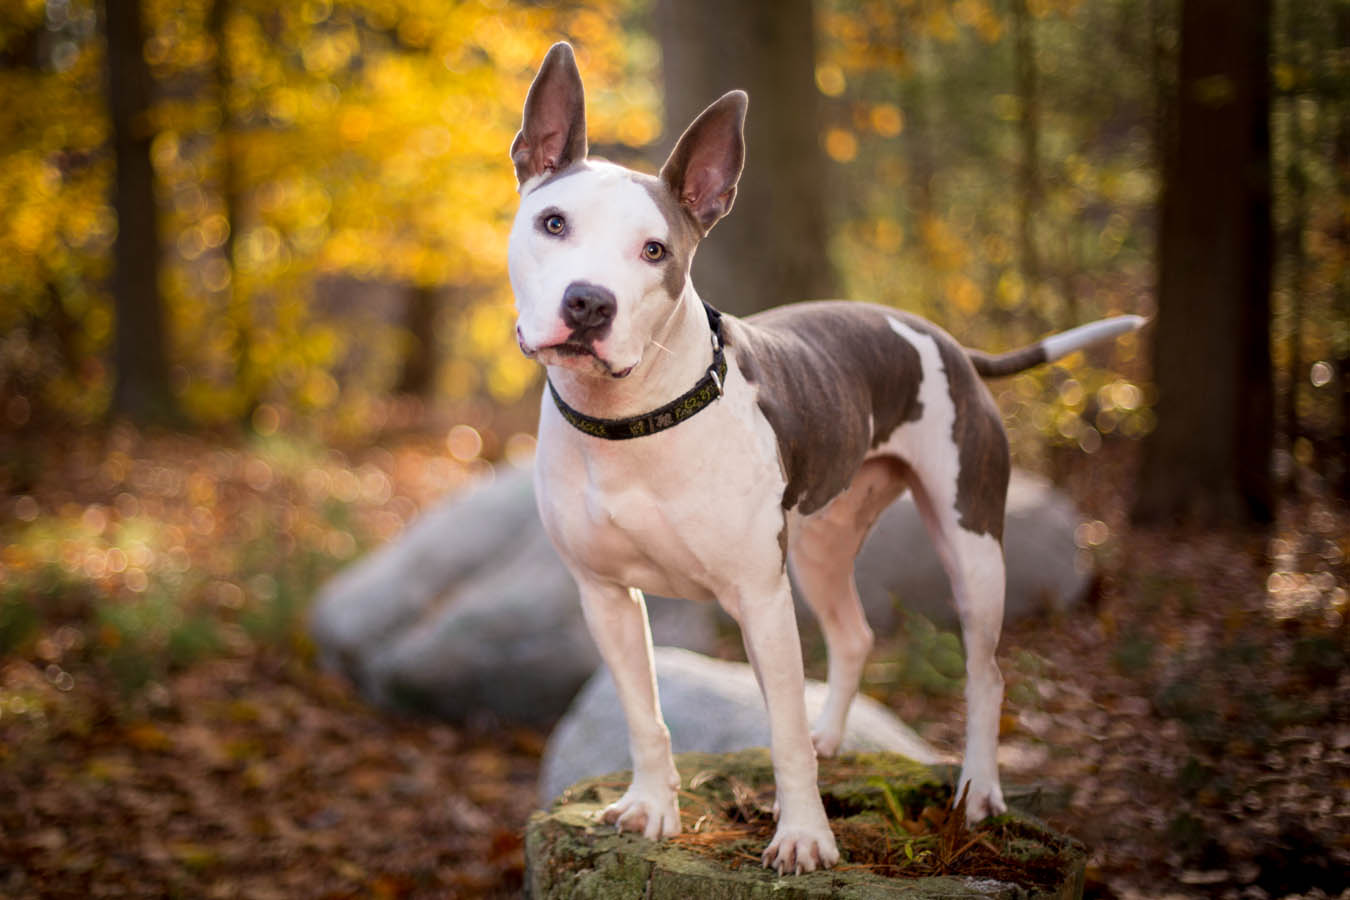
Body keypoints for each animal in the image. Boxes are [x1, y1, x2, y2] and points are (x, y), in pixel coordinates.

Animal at [507, 43, 1139, 879]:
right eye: (553, 223)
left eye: (655, 251)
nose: (588, 303)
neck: (632, 421)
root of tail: (946, 343)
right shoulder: (606, 597)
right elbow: (644, 714)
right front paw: (650, 807)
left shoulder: (759, 598)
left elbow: (777, 731)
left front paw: (804, 836)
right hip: (821, 545)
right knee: (855, 634)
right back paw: (834, 737)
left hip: (971, 546)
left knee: (987, 672)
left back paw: (978, 791)